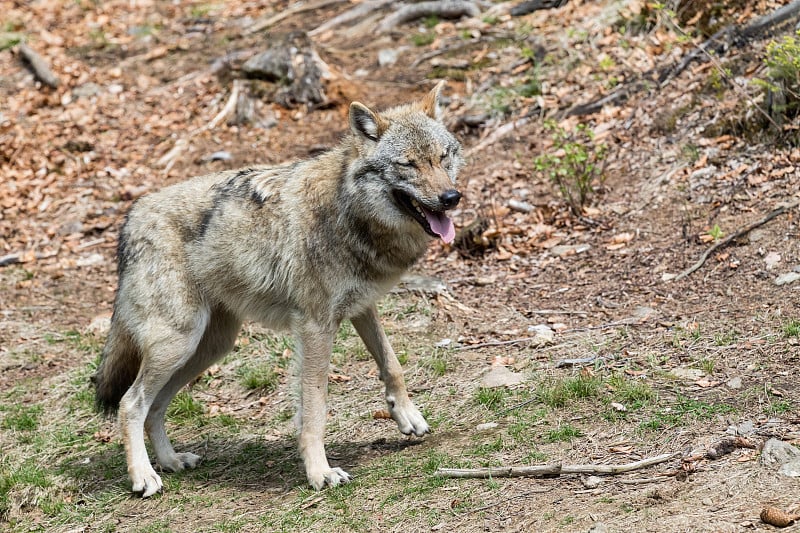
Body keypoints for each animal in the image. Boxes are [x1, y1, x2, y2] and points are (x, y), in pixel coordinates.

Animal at [94, 81, 466, 496]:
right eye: (409, 164)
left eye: (443, 157)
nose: (451, 198)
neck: (348, 211)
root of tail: (131, 217)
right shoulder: (316, 327)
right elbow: (315, 406)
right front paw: (320, 473)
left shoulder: (360, 308)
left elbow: (392, 364)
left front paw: (408, 417)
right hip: (178, 343)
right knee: (131, 403)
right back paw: (144, 477)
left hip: (208, 347)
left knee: (154, 407)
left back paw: (172, 462)